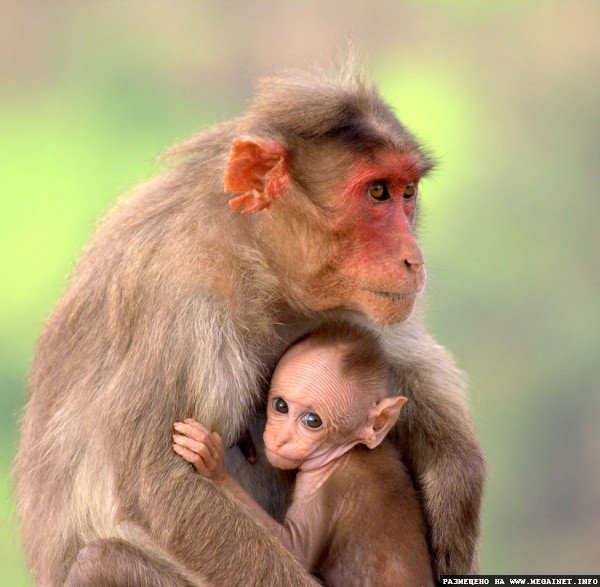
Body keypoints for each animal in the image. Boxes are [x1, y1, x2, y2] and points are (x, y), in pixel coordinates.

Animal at [172, 324, 432, 584]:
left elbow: (296, 548)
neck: (347, 450)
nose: (279, 439)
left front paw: (214, 465)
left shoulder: (324, 484)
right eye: (280, 405)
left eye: (313, 421)